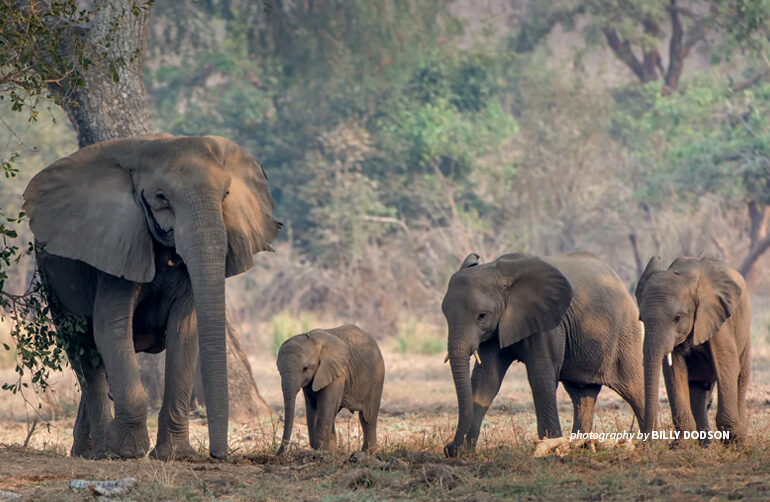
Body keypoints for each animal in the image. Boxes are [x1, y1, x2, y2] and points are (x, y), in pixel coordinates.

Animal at [22, 133, 280, 460]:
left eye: (226, 194)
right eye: (161, 198)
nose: (217, 455)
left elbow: (185, 332)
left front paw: (175, 455)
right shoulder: (116, 244)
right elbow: (111, 329)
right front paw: (127, 451)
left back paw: (89, 449)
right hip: (52, 278)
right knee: (84, 352)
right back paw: (99, 451)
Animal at [276, 325, 385, 455]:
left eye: (305, 368)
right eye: (278, 370)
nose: (277, 454)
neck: (311, 339)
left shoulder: (337, 373)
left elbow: (325, 405)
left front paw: (320, 451)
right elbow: (312, 406)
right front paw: (321, 450)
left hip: (377, 377)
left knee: (368, 416)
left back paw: (367, 453)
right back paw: (335, 451)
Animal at [442, 252, 645, 457]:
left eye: (482, 316)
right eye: (445, 315)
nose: (448, 448)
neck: (500, 274)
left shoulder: (550, 324)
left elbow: (540, 375)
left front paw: (550, 448)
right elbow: (486, 380)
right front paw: (463, 453)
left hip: (627, 335)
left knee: (635, 388)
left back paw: (648, 444)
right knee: (582, 395)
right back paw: (583, 446)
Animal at [636, 256, 751, 443]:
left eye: (677, 318)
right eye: (642, 319)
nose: (645, 445)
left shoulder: (719, 319)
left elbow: (726, 364)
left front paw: (733, 442)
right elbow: (673, 371)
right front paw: (680, 446)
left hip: (744, 334)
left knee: (740, 377)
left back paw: (738, 440)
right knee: (698, 388)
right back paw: (705, 444)